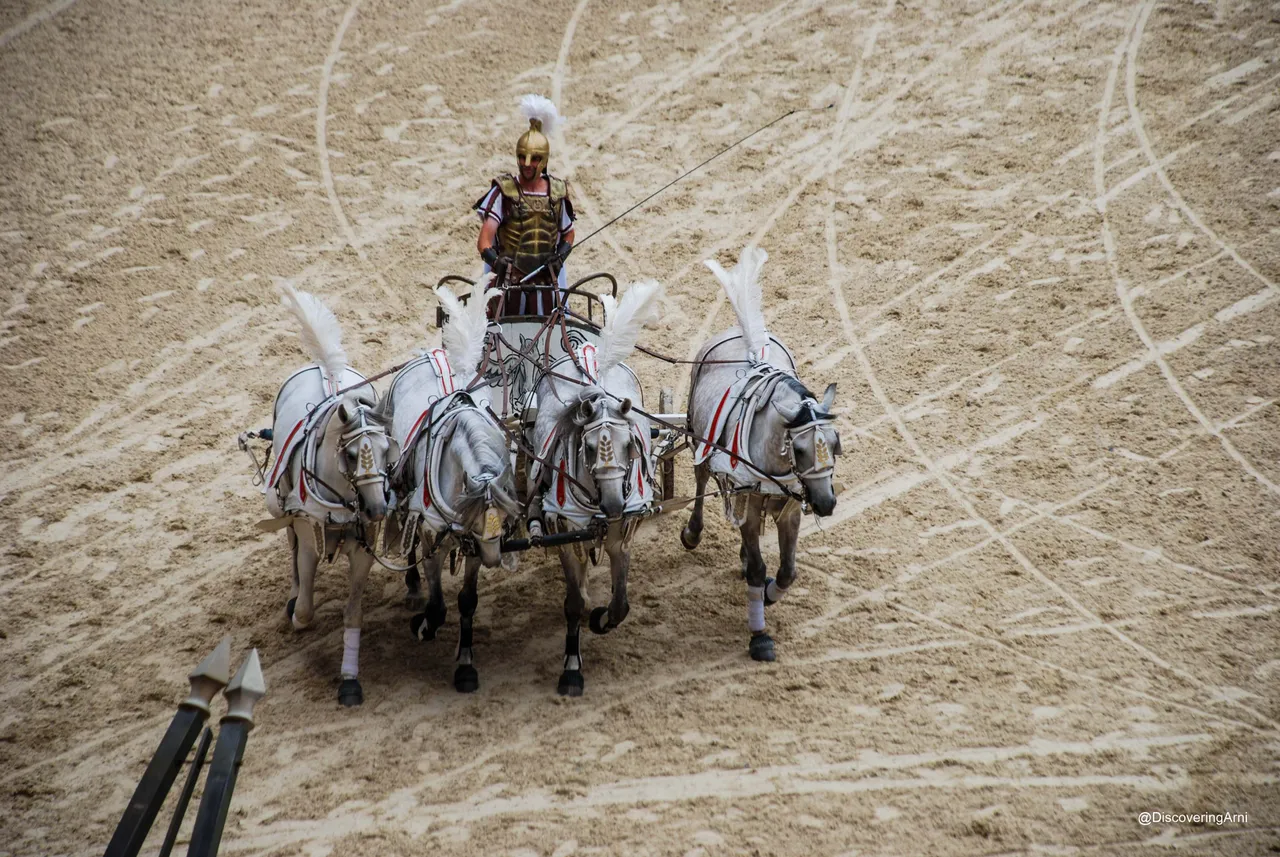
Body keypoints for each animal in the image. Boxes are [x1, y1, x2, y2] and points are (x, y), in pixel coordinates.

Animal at [262, 285, 391, 706]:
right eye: (351, 455)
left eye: (387, 449)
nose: (378, 508)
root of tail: (324, 370)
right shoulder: (308, 536)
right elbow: (305, 609)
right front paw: (296, 611)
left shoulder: (364, 549)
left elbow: (354, 614)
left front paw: (349, 679)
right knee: (291, 551)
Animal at [378, 283, 519, 695]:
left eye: (502, 520)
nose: (496, 559)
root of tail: (436, 355)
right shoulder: (432, 534)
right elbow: (438, 601)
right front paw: (425, 624)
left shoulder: (474, 544)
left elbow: (468, 601)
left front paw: (466, 666)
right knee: (405, 532)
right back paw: (412, 588)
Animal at [524, 281, 665, 695]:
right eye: (588, 447)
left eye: (629, 444)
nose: (615, 505)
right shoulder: (565, 534)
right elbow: (573, 602)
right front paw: (572, 668)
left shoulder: (621, 535)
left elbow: (620, 604)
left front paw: (602, 617)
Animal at [680, 248, 839, 665]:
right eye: (799, 448)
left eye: (835, 443)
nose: (826, 503)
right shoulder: (749, 504)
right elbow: (758, 568)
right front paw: (759, 635)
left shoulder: (789, 509)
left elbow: (786, 572)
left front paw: (770, 594)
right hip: (700, 443)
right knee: (700, 480)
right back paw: (693, 531)